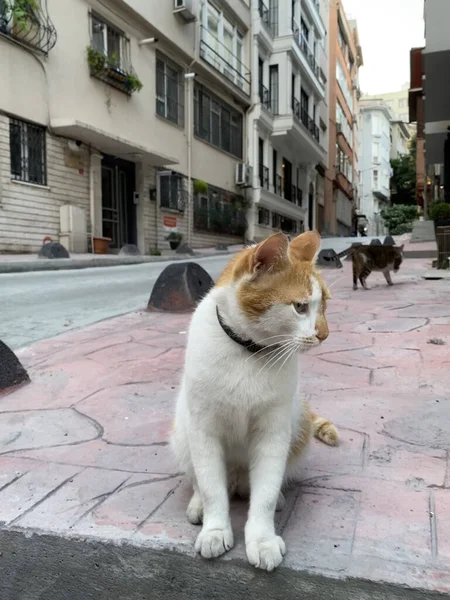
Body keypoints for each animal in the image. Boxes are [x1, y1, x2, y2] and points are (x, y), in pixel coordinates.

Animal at [171, 231, 338, 572]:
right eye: (300, 307)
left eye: (324, 304)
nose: (324, 335)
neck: (248, 352)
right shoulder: (203, 431)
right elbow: (211, 487)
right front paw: (215, 529)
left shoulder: (272, 433)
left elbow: (265, 494)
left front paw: (262, 539)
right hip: (182, 431)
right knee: (198, 479)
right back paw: (198, 505)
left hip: (297, 426)